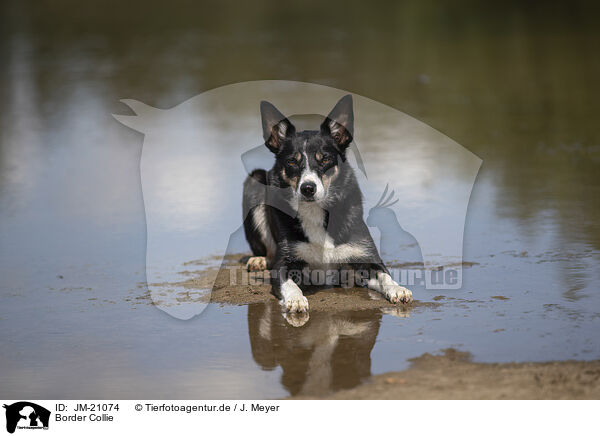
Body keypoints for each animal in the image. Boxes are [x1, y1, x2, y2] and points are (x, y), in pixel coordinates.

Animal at [240, 96, 412, 314]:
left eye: (325, 159)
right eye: (291, 162)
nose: (307, 188)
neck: (316, 211)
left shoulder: (365, 257)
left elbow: (385, 275)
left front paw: (398, 289)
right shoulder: (284, 263)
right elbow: (289, 283)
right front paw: (296, 299)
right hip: (255, 180)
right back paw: (258, 259)